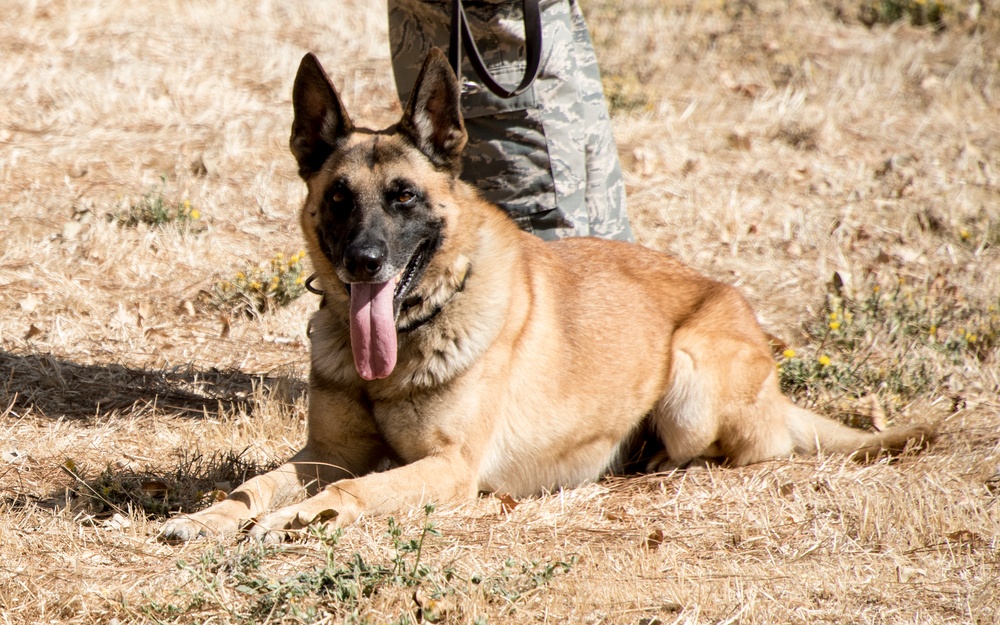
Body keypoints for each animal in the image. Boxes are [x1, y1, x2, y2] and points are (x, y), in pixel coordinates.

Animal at [160, 51, 932, 540]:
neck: (412, 335)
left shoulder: (448, 468)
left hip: (688, 376)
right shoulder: (323, 451)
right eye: (340, 199)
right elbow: (256, 485)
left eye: (404, 196)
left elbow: (348, 491)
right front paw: (210, 517)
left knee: (738, 453)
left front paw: (298, 518)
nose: (363, 264)